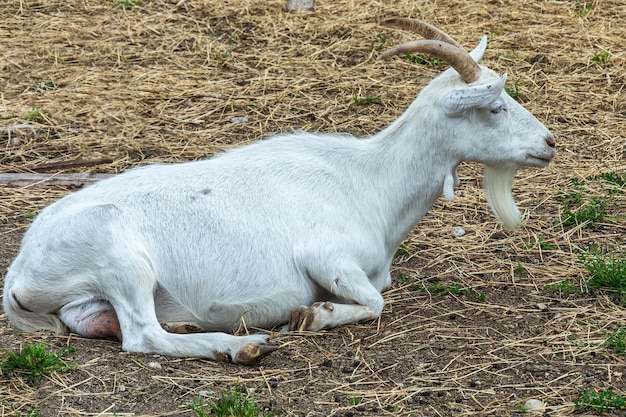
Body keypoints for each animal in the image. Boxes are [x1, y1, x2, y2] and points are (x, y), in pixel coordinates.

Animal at [2, 19, 552, 362]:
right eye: (495, 107)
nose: (549, 143)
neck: (368, 181)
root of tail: (19, 272)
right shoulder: (327, 257)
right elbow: (375, 302)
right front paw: (312, 315)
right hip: (122, 258)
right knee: (140, 335)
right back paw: (239, 346)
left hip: (91, 296)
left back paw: (194, 327)